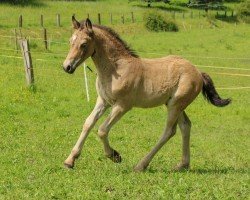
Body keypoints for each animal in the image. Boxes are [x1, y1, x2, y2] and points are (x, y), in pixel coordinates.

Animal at [62, 16, 230, 172]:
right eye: (70, 41)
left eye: (84, 44)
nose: (67, 67)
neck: (117, 68)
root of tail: (198, 72)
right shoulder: (103, 101)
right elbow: (88, 123)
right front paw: (70, 160)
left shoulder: (122, 106)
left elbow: (102, 130)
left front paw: (114, 155)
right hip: (175, 104)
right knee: (185, 126)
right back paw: (182, 165)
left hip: (175, 105)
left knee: (169, 131)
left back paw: (141, 165)